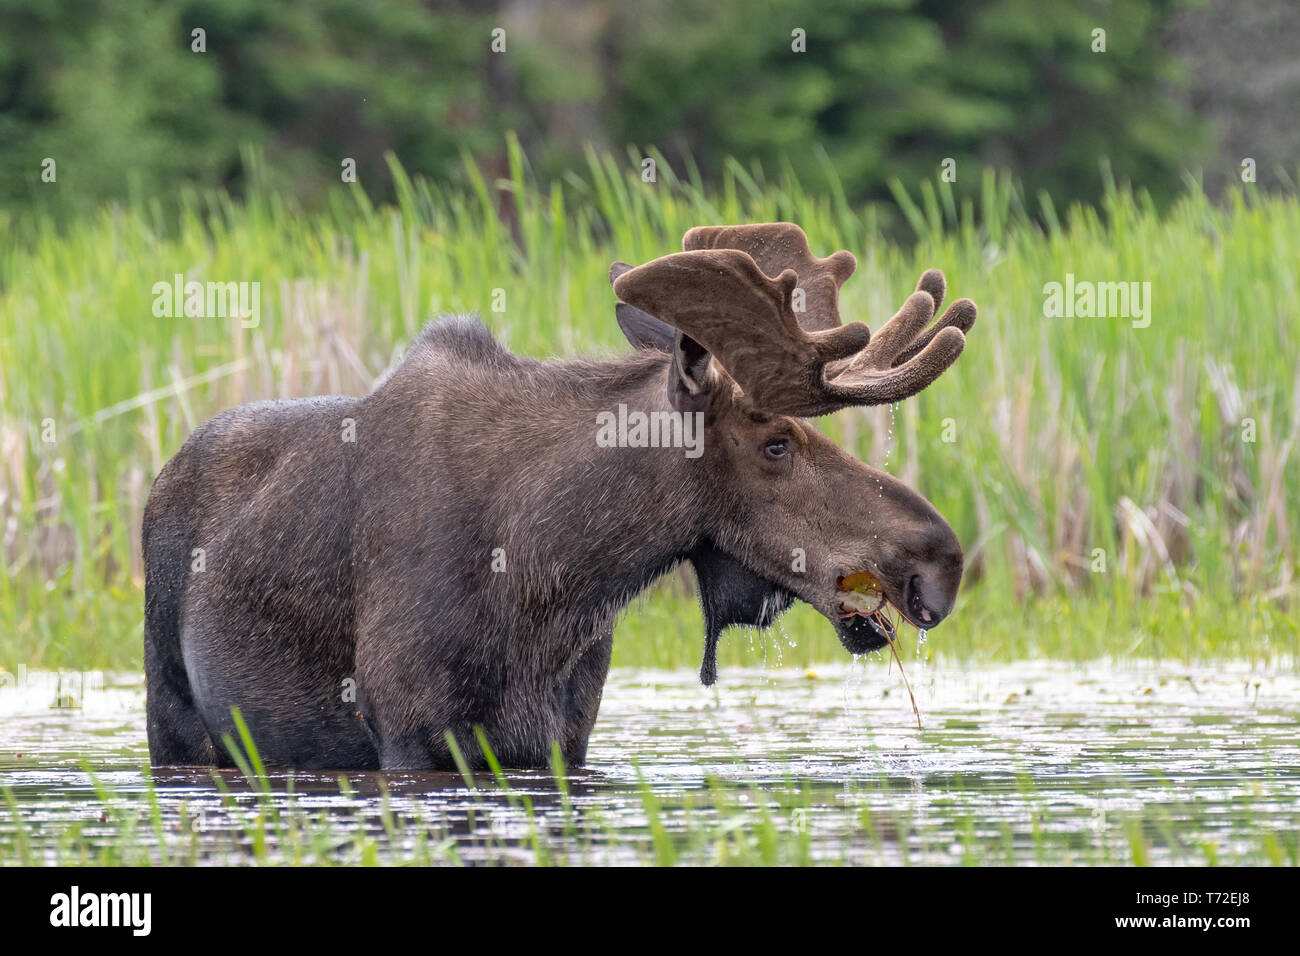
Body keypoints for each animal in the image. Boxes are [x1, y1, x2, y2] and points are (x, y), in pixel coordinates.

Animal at [144, 222, 977, 770]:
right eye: (776, 442)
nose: (939, 559)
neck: (553, 572)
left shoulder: (566, 734)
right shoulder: (408, 732)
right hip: (172, 716)